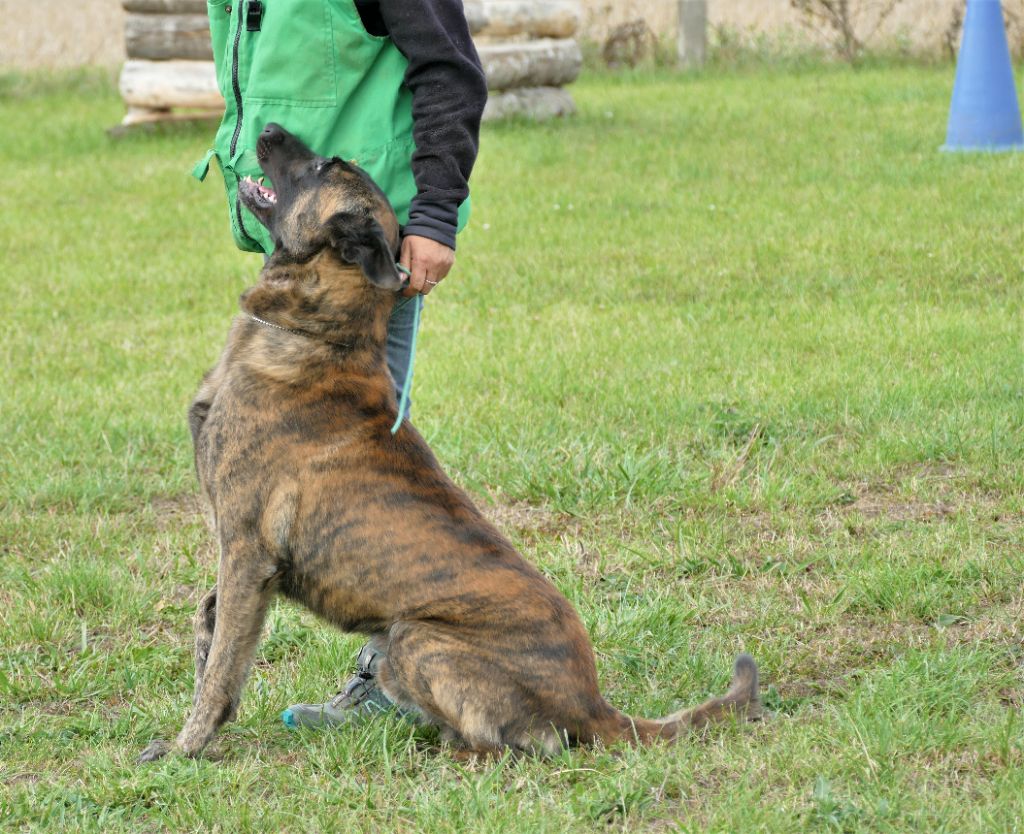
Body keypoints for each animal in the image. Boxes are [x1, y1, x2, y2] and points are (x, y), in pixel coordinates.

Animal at [138, 125, 761, 762]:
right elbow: (208, 632)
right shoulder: (235, 555)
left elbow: (221, 667)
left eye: (324, 166)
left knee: (507, 743)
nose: (264, 130)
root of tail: (592, 703)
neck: (317, 335)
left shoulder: (246, 552)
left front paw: (185, 748)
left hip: (414, 637)